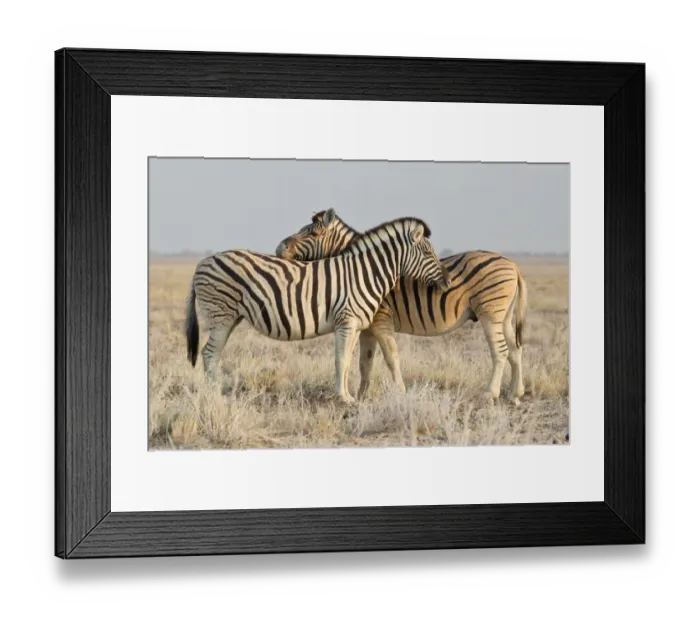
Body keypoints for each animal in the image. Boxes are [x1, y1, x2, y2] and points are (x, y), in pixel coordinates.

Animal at [186, 217, 450, 404]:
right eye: (428, 252)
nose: (447, 282)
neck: (366, 273)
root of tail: (203, 262)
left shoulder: (354, 325)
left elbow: (347, 360)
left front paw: (348, 396)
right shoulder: (346, 320)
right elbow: (341, 360)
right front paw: (344, 399)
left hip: (230, 318)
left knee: (213, 354)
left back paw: (216, 392)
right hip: (221, 315)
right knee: (209, 354)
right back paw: (215, 396)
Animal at [275, 209, 528, 404]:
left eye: (313, 232)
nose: (279, 248)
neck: (360, 270)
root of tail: (513, 264)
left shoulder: (380, 321)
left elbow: (389, 358)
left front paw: (396, 393)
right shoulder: (366, 327)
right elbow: (365, 363)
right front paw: (362, 396)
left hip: (490, 313)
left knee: (501, 351)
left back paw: (490, 394)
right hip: (504, 317)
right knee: (515, 350)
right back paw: (514, 395)